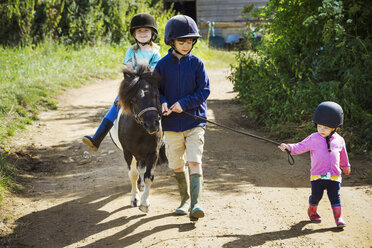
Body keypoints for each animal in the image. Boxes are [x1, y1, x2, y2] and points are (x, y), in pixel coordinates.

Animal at [112, 64, 166, 213]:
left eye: (155, 95)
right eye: (134, 100)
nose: (152, 124)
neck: (140, 132)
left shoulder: (153, 152)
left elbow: (148, 176)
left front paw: (144, 203)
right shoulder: (128, 153)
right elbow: (133, 175)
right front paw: (134, 199)